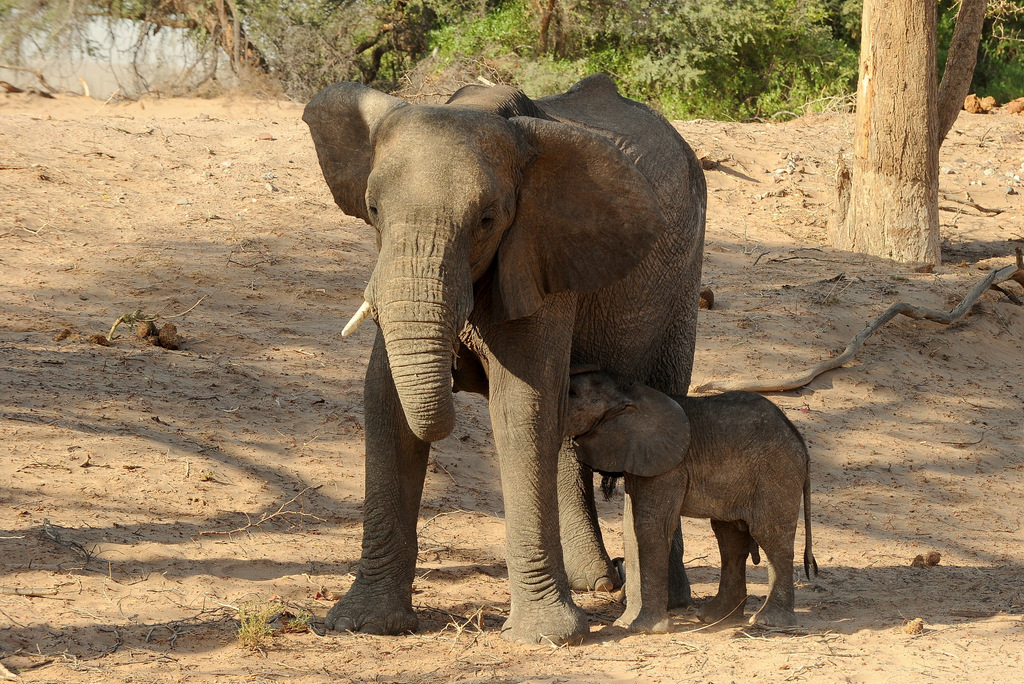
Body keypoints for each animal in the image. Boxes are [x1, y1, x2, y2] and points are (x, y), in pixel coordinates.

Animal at [301, 76, 704, 647]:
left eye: (487, 220)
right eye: (373, 210)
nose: (458, 365)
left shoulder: (538, 250)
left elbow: (521, 405)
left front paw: (547, 638)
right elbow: (385, 401)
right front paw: (363, 626)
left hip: (683, 278)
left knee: (664, 405)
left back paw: (663, 598)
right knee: (567, 423)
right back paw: (594, 582)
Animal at [565, 370, 819, 634]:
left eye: (572, 393)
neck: (627, 393)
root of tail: (802, 445)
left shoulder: (669, 467)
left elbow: (650, 527)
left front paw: (648, 630)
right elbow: (631, 529)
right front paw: (625, 625)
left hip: (776, 473)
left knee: (769, 535)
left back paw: (766, 621)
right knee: (729, 537)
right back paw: (715, 617)